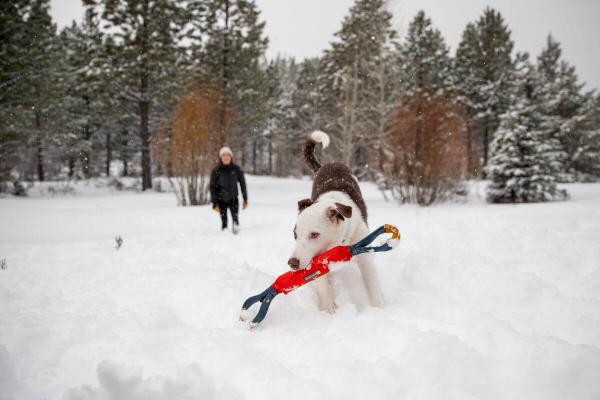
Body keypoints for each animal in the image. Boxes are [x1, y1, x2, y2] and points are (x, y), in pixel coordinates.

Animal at [290, 131, 384, 312]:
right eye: (295, 235)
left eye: (314, 234)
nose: (292, 263)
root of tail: (328, 164)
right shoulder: (317, 260)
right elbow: (323, 282)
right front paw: (327, 308)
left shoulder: (364, 254)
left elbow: (372, 283)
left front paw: (379, 308)